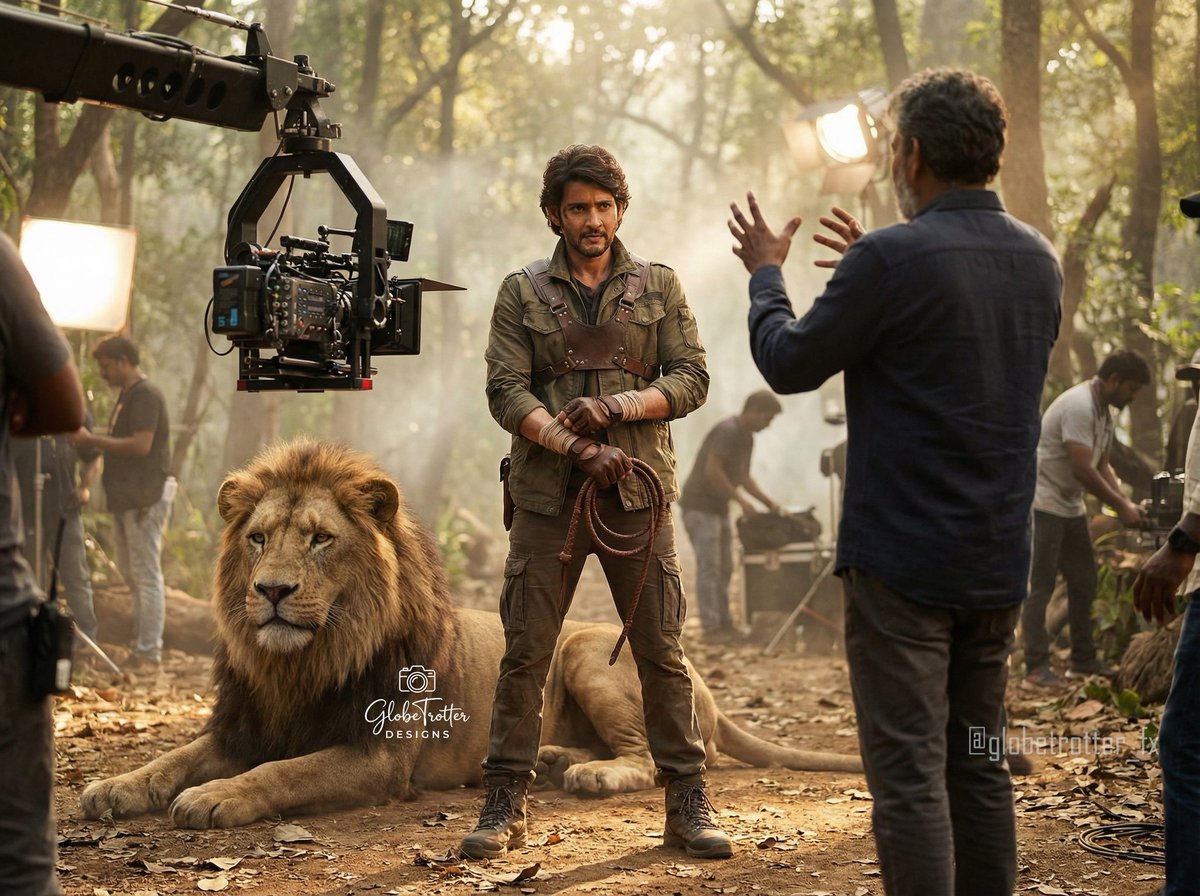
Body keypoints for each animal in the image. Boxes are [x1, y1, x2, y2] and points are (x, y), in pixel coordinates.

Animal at [81, 439, 862, 830]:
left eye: (320, 540)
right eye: (258, 538)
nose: (271, 591)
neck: (303, 663)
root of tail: (711, 693)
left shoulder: (377, 757)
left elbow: (284, 772)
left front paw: (215, 797)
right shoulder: (244, 724)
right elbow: (172, 758)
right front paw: (112, 786)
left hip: (588, 650)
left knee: (653, 755)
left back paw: (590, 773)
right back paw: (549, 756)